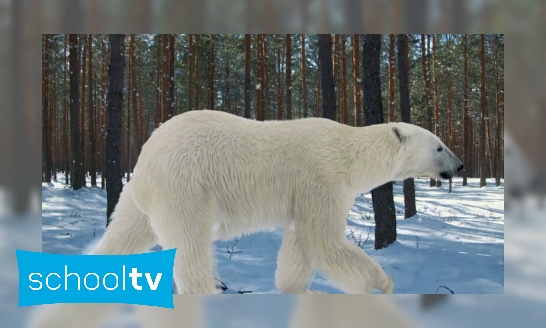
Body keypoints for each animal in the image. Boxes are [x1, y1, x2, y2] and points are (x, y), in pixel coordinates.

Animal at [91, 110, 462, 294]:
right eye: (439, 145)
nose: (459, 166)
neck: (347, 154)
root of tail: (145, 155)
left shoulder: (305, 196)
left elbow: (300, 246)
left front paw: (292, 290)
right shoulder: (320, 180)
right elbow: (325, 242)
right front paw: (381, 285)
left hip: (141, 196)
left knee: (123, 235)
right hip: (184, 184)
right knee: (190, 244)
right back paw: (208, 290)